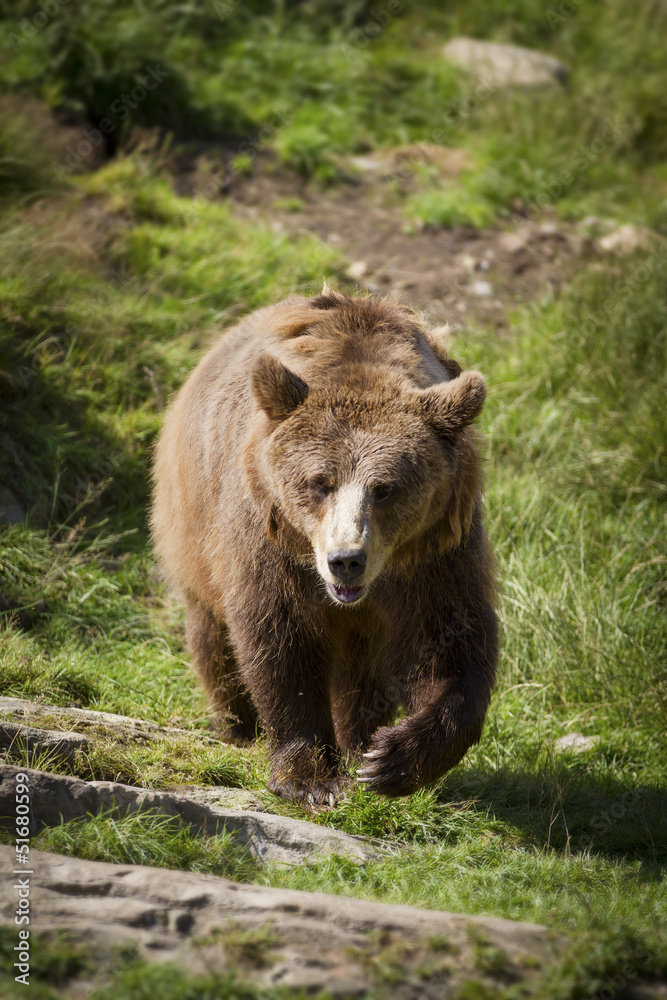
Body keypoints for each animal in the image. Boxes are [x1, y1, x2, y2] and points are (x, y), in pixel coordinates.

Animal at [150, 288, 496, 804]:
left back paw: (356, 740)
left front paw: (389, 758)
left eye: (385, 488)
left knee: (360, 674)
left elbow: (448, 643)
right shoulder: (269, 539)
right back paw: (236, 724)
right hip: (193, 525)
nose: (345, 561)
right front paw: (312, 778)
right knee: (212, 635)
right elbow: (279, 640)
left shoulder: (435, 551)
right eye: (319, 482)